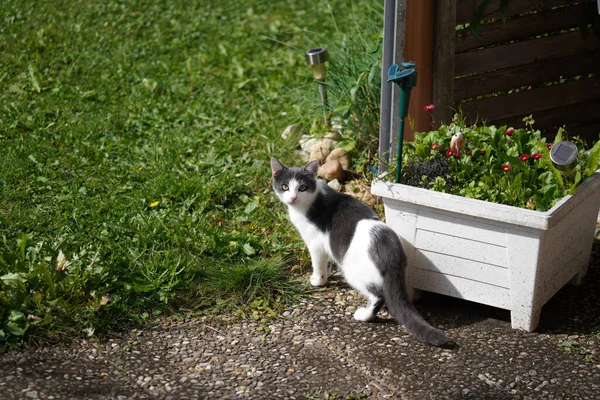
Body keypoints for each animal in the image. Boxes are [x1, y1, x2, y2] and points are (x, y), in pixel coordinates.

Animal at [270, 157, 450, 346]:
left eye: (302, 187)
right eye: (285, 187)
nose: (293, 197)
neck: (310, 203)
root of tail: (389, 250)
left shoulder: (315, 243)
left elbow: (317, 263)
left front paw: (317, 280)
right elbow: (327, 262)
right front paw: (327, 274)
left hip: (354, 271)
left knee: (378, 295)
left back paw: (364, 315)